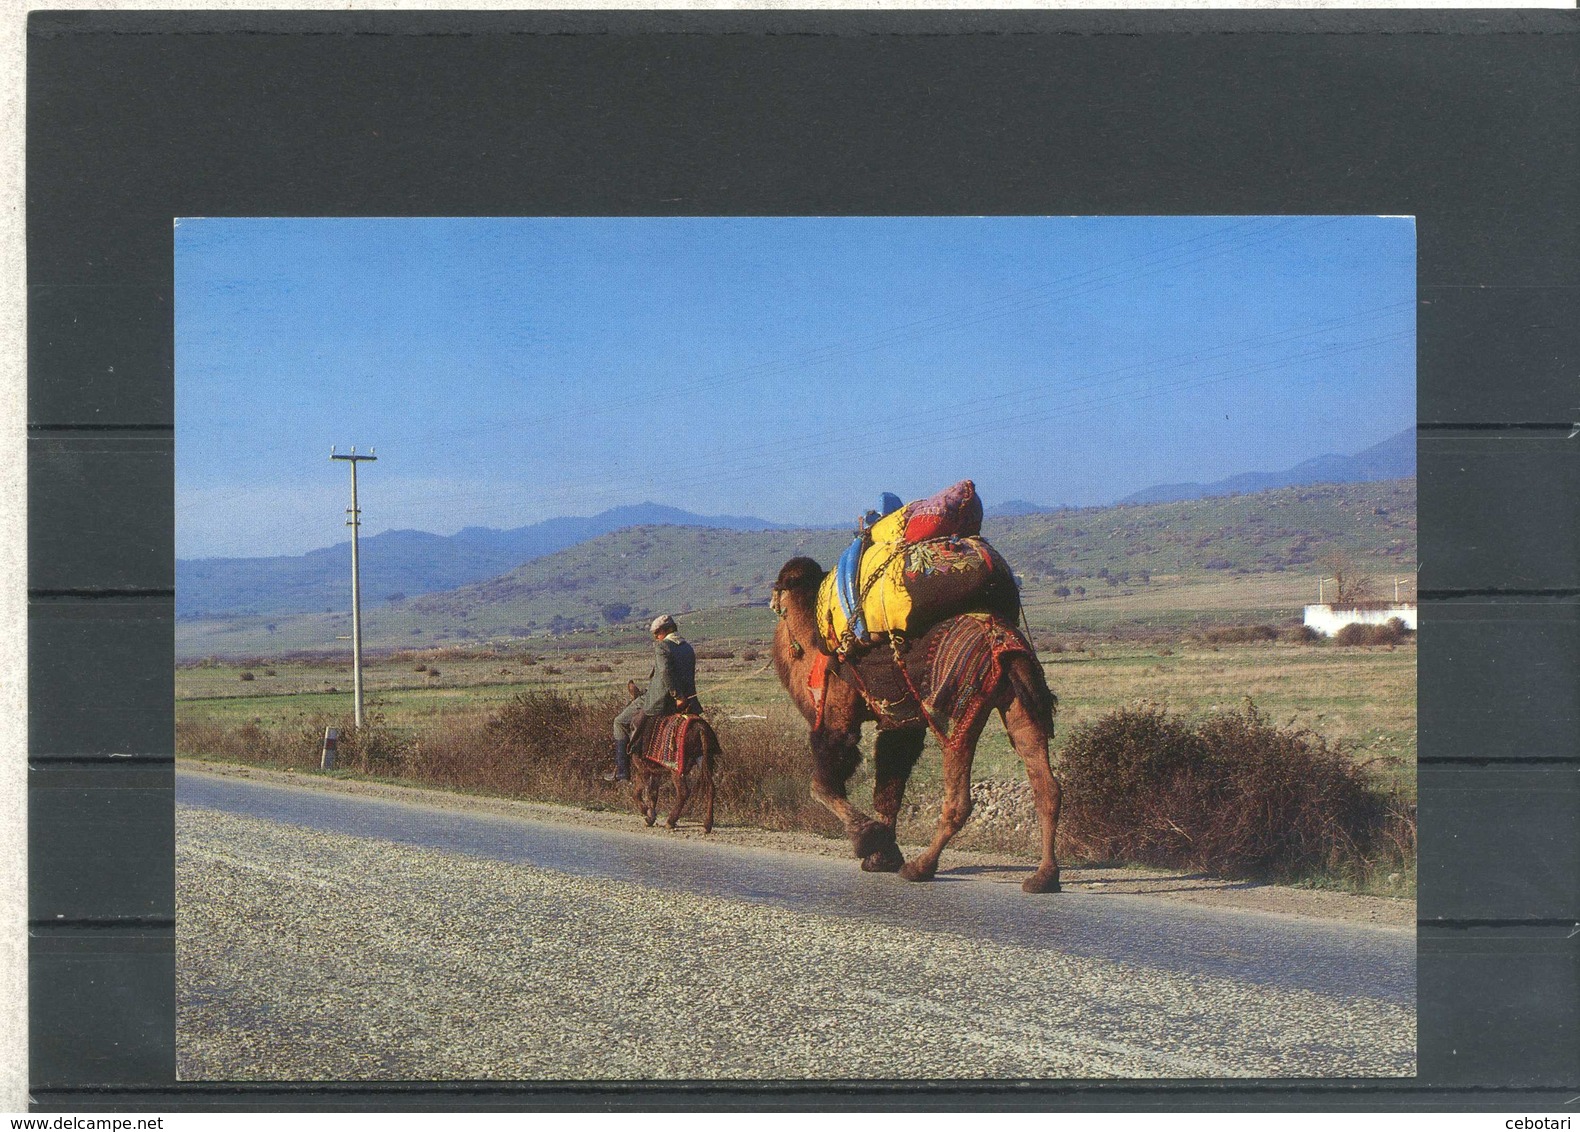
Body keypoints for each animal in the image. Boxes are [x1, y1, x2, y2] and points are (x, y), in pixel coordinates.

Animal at [625, 676, 720, 834]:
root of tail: (700, 727)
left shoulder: (643, 769)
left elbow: (638, 793)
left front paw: (647, 814)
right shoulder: (655, 771)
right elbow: (653, 794)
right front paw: (651, 815)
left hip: (676, 769)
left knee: (683, 792)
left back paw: (671, 821)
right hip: (705, 761)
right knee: (711, 788)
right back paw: (707, 824)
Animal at [767, 556, 1061, 891]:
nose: (772, 603)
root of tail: (1000, 638)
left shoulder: (837, 713)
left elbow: (822, 784)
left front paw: (868, 838)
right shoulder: (900, 723)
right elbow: (889, 784)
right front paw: (883, 856)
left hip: (957, 708)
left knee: (959, 798)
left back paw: (921, 866)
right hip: (1019, 701)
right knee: (1046, 786)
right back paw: (1044, 876)